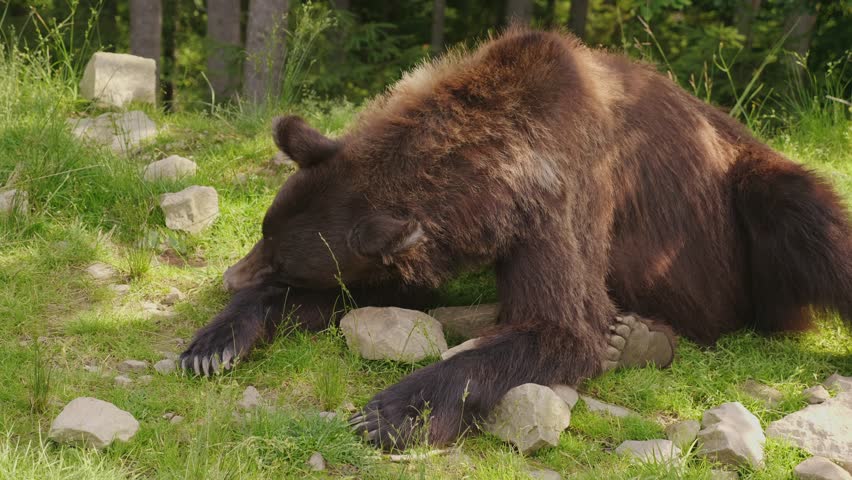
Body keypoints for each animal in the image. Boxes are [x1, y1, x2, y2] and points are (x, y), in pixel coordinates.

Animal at [180, 27, 852, 450]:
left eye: (282, 261)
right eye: (268, 241)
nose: (229, 276)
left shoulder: (563, 201)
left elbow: (561, 325)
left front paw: (386, 413)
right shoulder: (423, 255)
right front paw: (214, 343)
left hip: (745, 200)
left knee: (809, 221)